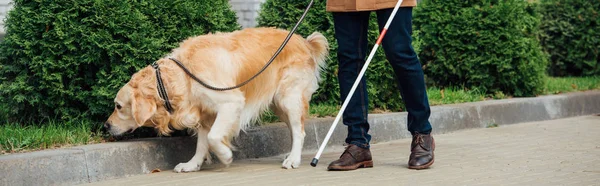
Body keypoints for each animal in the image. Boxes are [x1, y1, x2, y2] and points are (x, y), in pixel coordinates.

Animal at [103, 26, 328, 172]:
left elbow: (213, 137)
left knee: (299, 131)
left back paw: (293, 159)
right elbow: (202, 142)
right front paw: (192, 164)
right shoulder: (205, 113)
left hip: (288, 97)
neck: (182, 75)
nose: (106, 126)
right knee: (294, 129)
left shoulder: (231, 103)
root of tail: (305, 42)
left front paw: (225, 155)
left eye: (118, 106)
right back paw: (291, 155)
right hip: (279, 104)